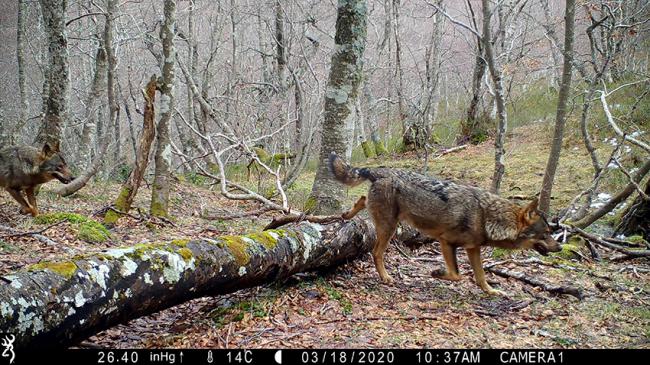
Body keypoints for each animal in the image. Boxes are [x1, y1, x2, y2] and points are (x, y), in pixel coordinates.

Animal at [330, 152, 560, 294]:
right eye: (546, 233)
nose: (559, 247)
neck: (486, 217)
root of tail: (380, 170)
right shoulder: (446, 242)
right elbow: (457, 275)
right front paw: (437, 273)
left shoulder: (473, 249)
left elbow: (481, 277)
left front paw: (491, 291)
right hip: (390, 227)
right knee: (376, 253)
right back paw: (386, 278)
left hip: (385, 219)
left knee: (361, 200)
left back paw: (346, 214)